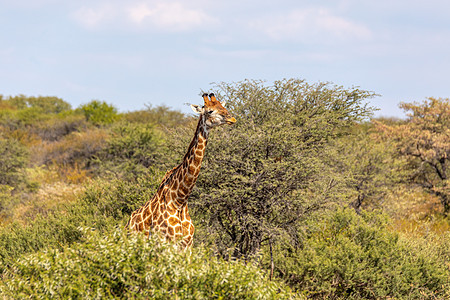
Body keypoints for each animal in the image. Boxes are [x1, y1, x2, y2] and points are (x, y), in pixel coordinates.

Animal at [126, 92, 236, 247]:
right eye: (210, 111)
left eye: (223, 106)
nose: (232, 118)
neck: (179, 200)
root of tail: (127, 224)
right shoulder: (165, 243)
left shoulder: (187, 244)